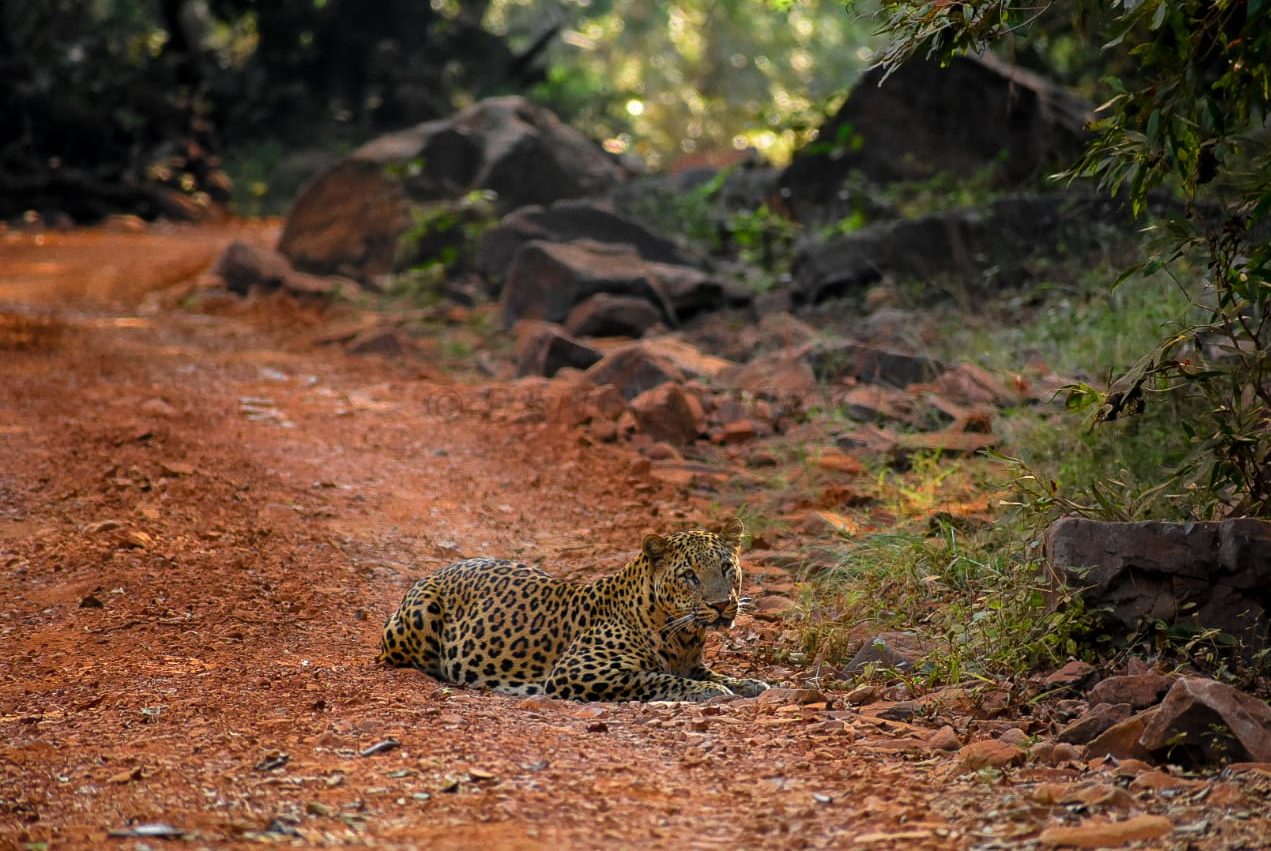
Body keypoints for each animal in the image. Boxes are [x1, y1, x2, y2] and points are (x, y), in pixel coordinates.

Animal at [376, 515, 767, 701]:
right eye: (689, 575)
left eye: (726, 568)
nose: (721, 605)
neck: (683, 636)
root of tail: (443, 568)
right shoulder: (578, 670)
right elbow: (658, 678)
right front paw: (711, 693)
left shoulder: (693, 663)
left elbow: (714, 674)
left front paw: (749, 683)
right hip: (418, 619)